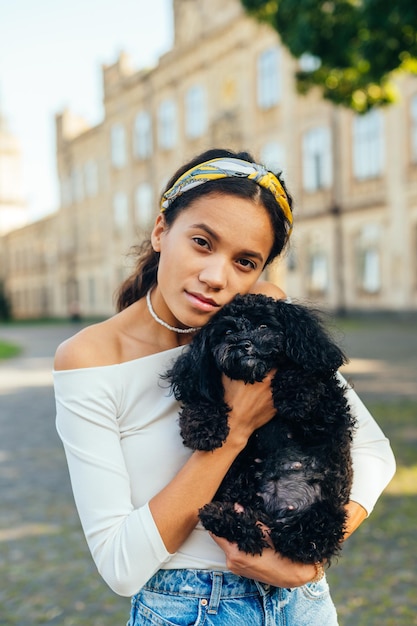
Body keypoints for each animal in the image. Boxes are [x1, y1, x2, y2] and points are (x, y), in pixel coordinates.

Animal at [164, 292, 356, 560]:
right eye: (227, 331)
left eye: (264, 325)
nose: (242, 343)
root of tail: (277, 515)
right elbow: (203, 399)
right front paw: (203, 430)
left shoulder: (327, 413)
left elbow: (301, 371)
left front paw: (293, 395)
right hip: (239, 486)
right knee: (253, 534)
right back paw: (219, 516)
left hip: (324, 518)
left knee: (295, 542)